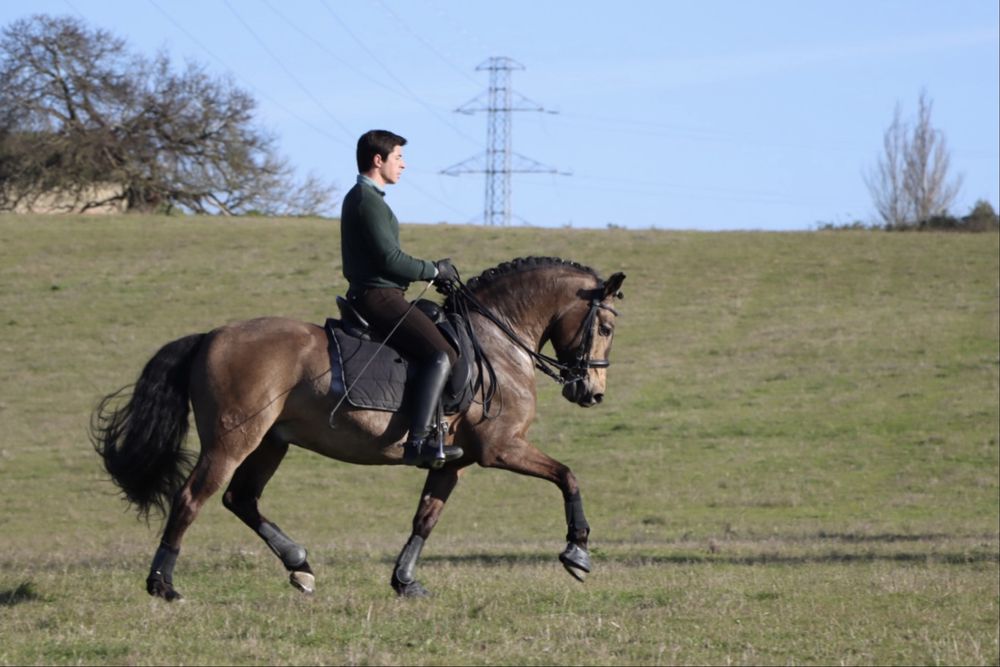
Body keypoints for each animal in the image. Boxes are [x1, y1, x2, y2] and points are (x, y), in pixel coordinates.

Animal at [91, 256, 625, 600]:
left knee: (240, 499)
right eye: (607, 327)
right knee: (190, 499)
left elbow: (425, 519)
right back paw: (163, 585)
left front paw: (405, 581)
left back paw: (300, 566)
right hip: (232, 441)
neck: (496, 340)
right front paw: (577, 552)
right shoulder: (503, 449)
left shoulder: (456, 462)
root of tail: (211, 336)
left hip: (270, 443)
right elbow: (568, 476)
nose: (592, 391)